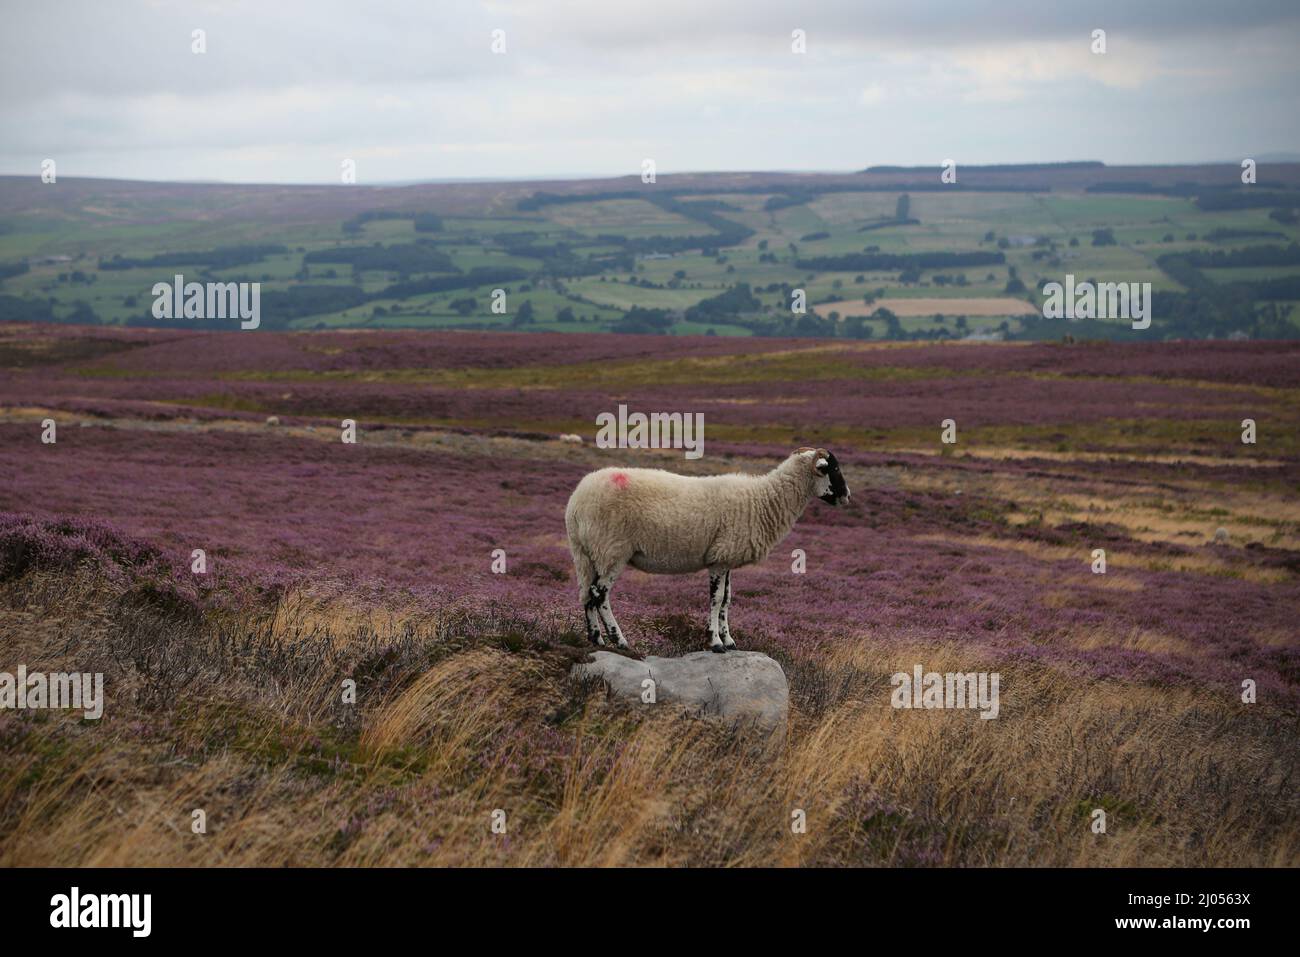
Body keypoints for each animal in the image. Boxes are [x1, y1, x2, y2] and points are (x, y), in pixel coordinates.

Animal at [564, 447, 850, 653]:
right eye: (833, 468)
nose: (847, 496)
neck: (763, 500)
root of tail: (577, 502)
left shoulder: (726, 558)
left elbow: (727, 600)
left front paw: (730, 641)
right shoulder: (720, 558)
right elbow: (716, 599)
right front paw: (715, 642)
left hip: (586, 553)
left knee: (586, 594)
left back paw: (596, 639)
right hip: (612, 550)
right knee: (599, 594)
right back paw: (619, 640)